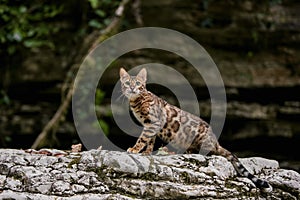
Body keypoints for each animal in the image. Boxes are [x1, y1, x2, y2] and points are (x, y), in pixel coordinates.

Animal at [119, 68, 272, 191]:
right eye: (127, 83)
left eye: (137, 83)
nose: (132, 88)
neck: (137, 100)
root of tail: (216, 142)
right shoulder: (150, 125)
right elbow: (150, 140)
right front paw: (147, 152)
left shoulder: (154, 122)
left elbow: (143, 138)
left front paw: (134, 149)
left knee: (208, 152)